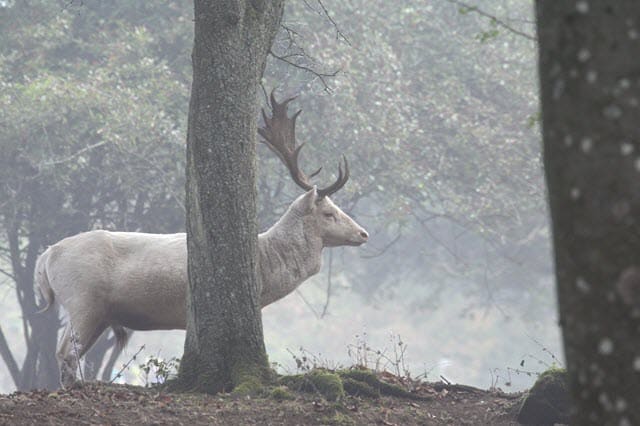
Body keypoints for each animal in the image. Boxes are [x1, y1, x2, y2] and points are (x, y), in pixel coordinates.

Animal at [37, 94, 368, 390]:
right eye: (328, 213)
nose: (363, 233)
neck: (265, 265)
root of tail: (47, 256)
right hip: (83, 299)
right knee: (65, 352)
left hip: (100, 314)